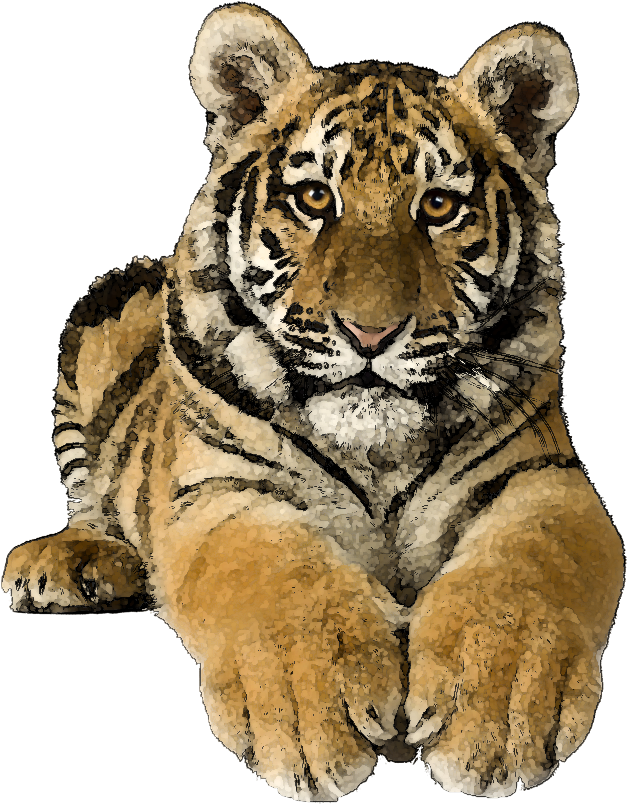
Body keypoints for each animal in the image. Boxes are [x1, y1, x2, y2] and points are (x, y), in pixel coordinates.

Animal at [3, 2, 624, 800]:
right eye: (314, 199)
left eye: (439, 206)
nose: (370, 332)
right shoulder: (221, 489)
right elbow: (275, 575)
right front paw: (307, 711)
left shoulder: (541, 478)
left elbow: (526, 571)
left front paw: (498, 711)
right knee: (92, 498)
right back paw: (70, 562)